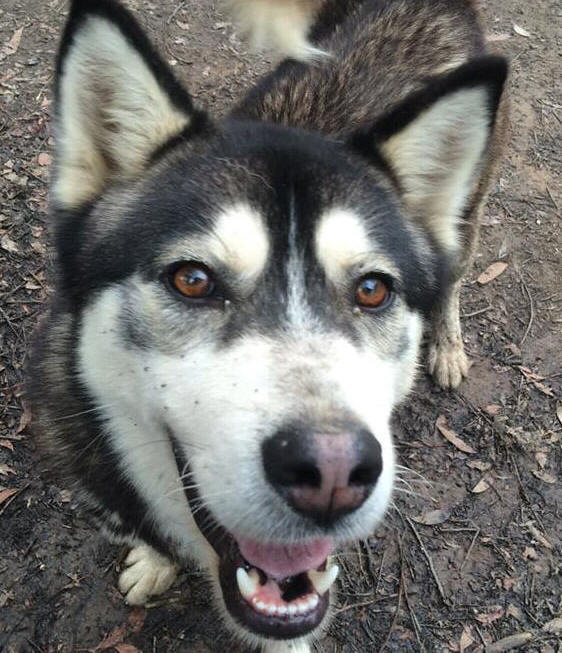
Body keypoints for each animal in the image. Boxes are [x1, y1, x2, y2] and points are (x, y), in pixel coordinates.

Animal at [27, 0, 508, 648]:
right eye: (192, 279)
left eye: (373, 290)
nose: (333, 473)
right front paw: (154, 561)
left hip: (466, 216)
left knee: (453, 275)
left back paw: (449, 345)